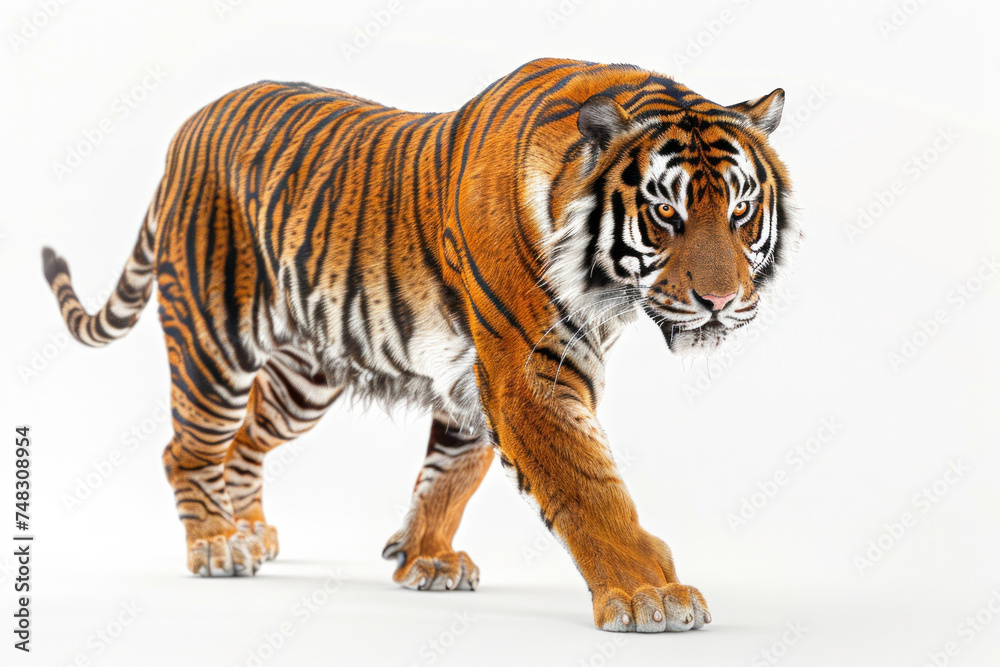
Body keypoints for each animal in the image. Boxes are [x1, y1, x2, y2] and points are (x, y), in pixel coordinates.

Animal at [42, 57, 795, 633]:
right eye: (666, 212)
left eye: (740, 210)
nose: (721, 301)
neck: (608, 289)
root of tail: (189, 123)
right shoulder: (529, 373)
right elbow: (589, 485)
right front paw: (649, 596)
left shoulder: (476, 380)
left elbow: (450, 475)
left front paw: (423, 558)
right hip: (214, 339)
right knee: (190, 448)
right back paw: (217, 544)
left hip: (301, 381)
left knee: (245, 441)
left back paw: (249, 529)